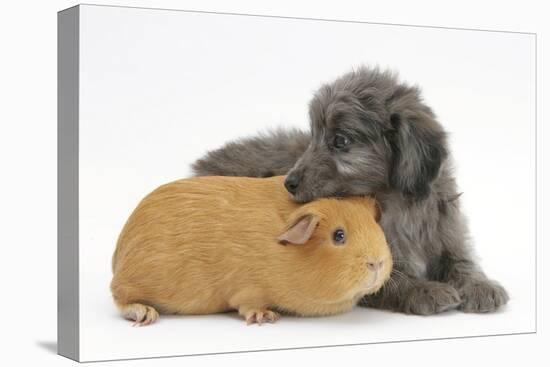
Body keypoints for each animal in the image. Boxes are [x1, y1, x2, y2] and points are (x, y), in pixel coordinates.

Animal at [192, 67, 512, 316]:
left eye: (340, 140)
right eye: (314, 137)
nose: (289, 182)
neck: (398, 204)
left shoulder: (446, 233)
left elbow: (462, 261)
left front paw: (480, 285)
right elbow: (394, 280)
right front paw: (426, 290)